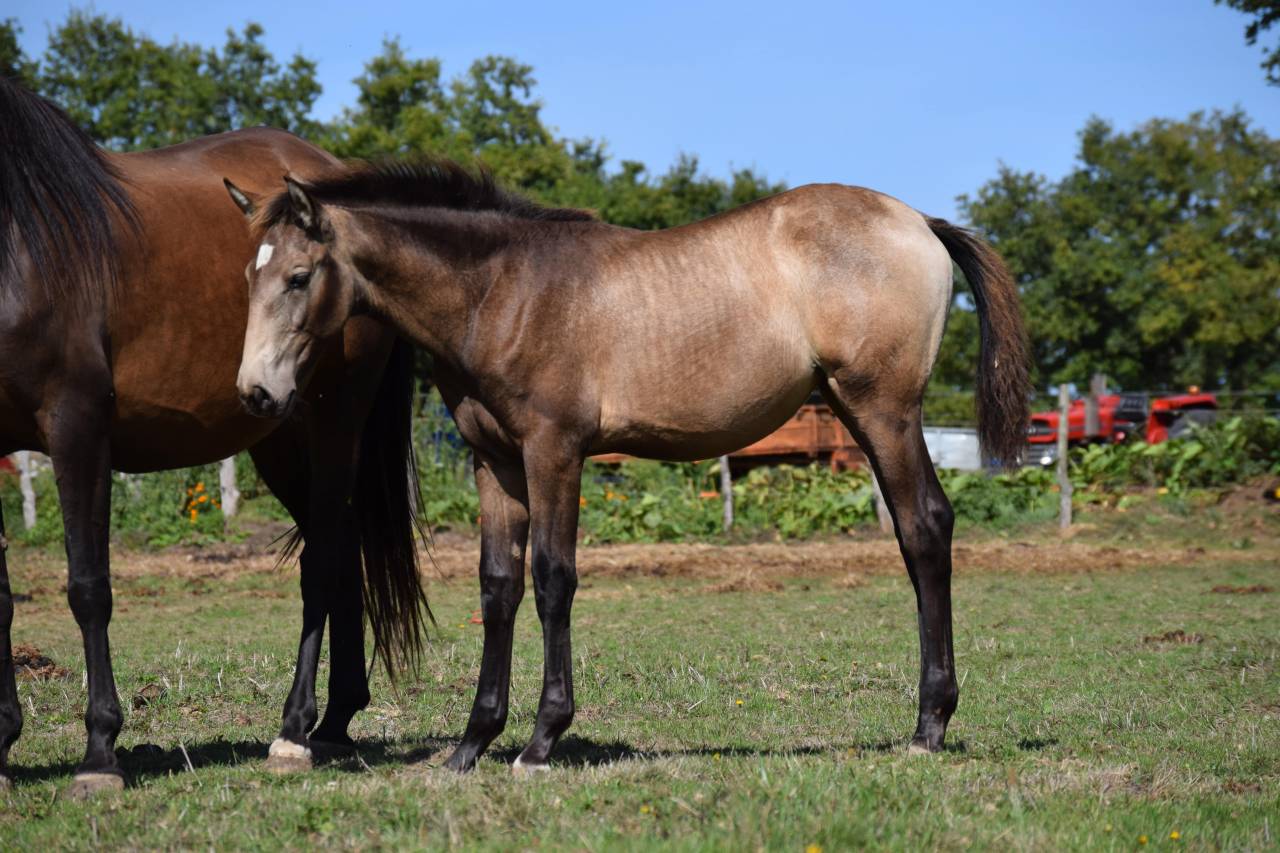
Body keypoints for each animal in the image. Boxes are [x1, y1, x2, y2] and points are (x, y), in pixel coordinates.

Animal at [0, 79, 426, 798]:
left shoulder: (76, 426)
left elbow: (89, 587)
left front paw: (100, 753)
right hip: (278, 435)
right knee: (340, 550)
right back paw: (335, 721)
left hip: (334, 419)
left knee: (325, 556)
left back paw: (296, 730)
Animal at [225, 160, 1030, 771]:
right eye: (248, 279)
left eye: (299, 276)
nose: (257, 393)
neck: (502, 289)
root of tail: (919, 221)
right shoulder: (497, 463)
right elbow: (498, 586)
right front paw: (471, 743)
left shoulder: (554, 451)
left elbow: (553, 579)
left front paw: (542, 739)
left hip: (883, 411)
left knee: (924, 529)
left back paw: (929, 725)